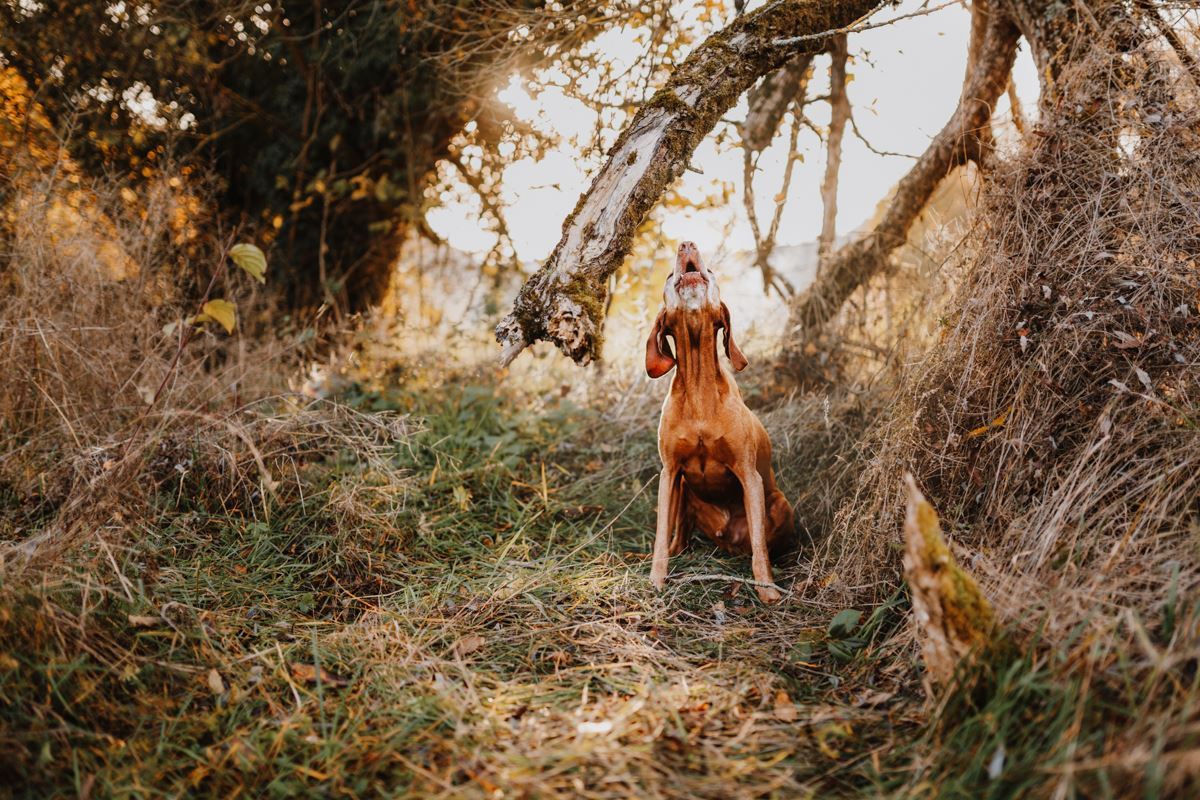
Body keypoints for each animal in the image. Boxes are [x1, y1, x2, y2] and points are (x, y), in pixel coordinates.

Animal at [648, 241, 796, 604]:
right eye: (670, 274)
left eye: (711, 271)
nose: (687, 243)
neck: (699, 389)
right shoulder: (669, 473)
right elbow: (660, 536)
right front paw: (656, 581)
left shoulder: (748, 475)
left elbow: (759, 547)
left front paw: (767, 589)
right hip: (683, 489)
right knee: (679, 534)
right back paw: (679, 550)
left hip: (781, 504)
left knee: (762, 542)